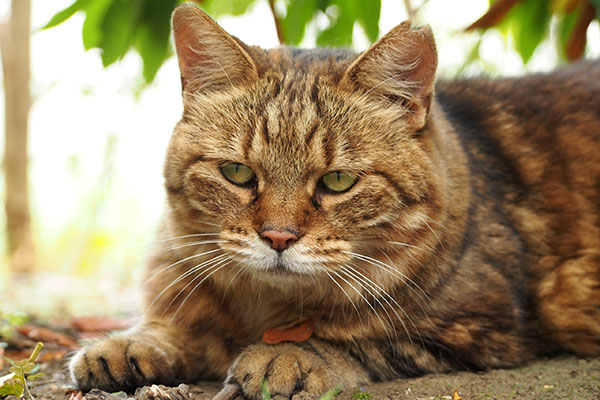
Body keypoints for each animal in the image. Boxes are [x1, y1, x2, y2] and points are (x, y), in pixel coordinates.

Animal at [68, 4, 596, 398]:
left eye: (338, 181)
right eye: (238, 173)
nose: (278, 237)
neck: (262, 309)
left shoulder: (479, 329)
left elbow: (357, 338)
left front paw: (287, 353)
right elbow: (173, 324)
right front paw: (129, 343)